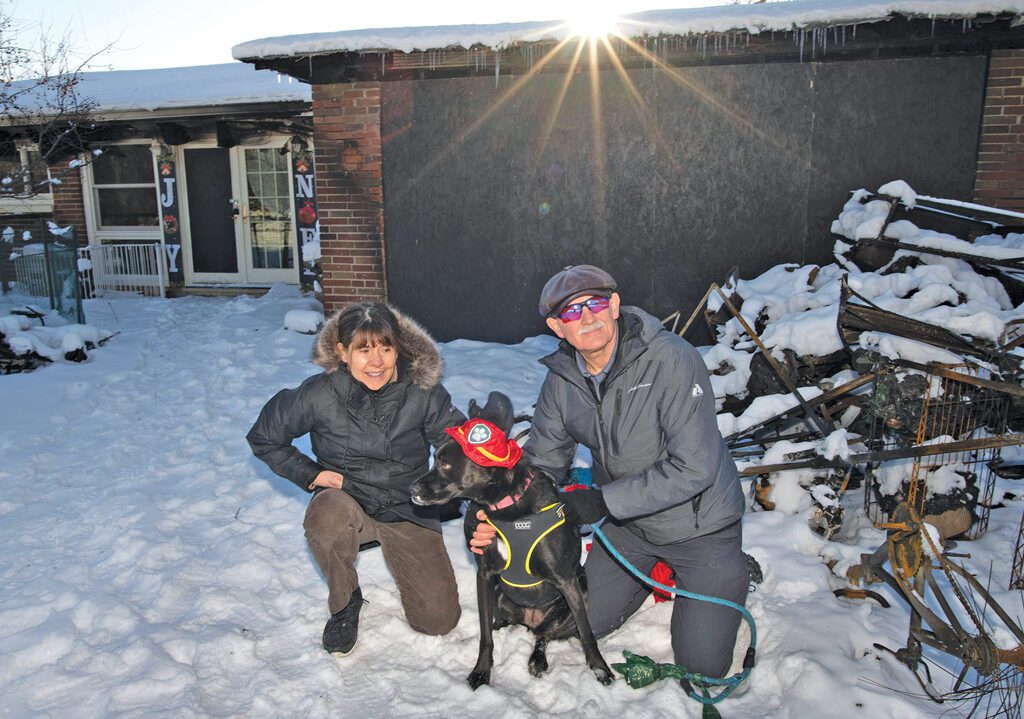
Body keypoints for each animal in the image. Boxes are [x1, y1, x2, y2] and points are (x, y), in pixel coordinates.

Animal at [411, 393, 610, 692]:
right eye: (435, 461)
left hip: (577, 595)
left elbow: (587, 633)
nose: (412, 489)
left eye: (445, 465)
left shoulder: (566, 581)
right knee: (502, 624)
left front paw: (600, 669)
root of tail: (530, 619)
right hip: (501, 596)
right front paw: (481, 671)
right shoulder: (485, 574)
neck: (505, 507)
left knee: (543, 636)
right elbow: (485, 635)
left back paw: (538, 659)